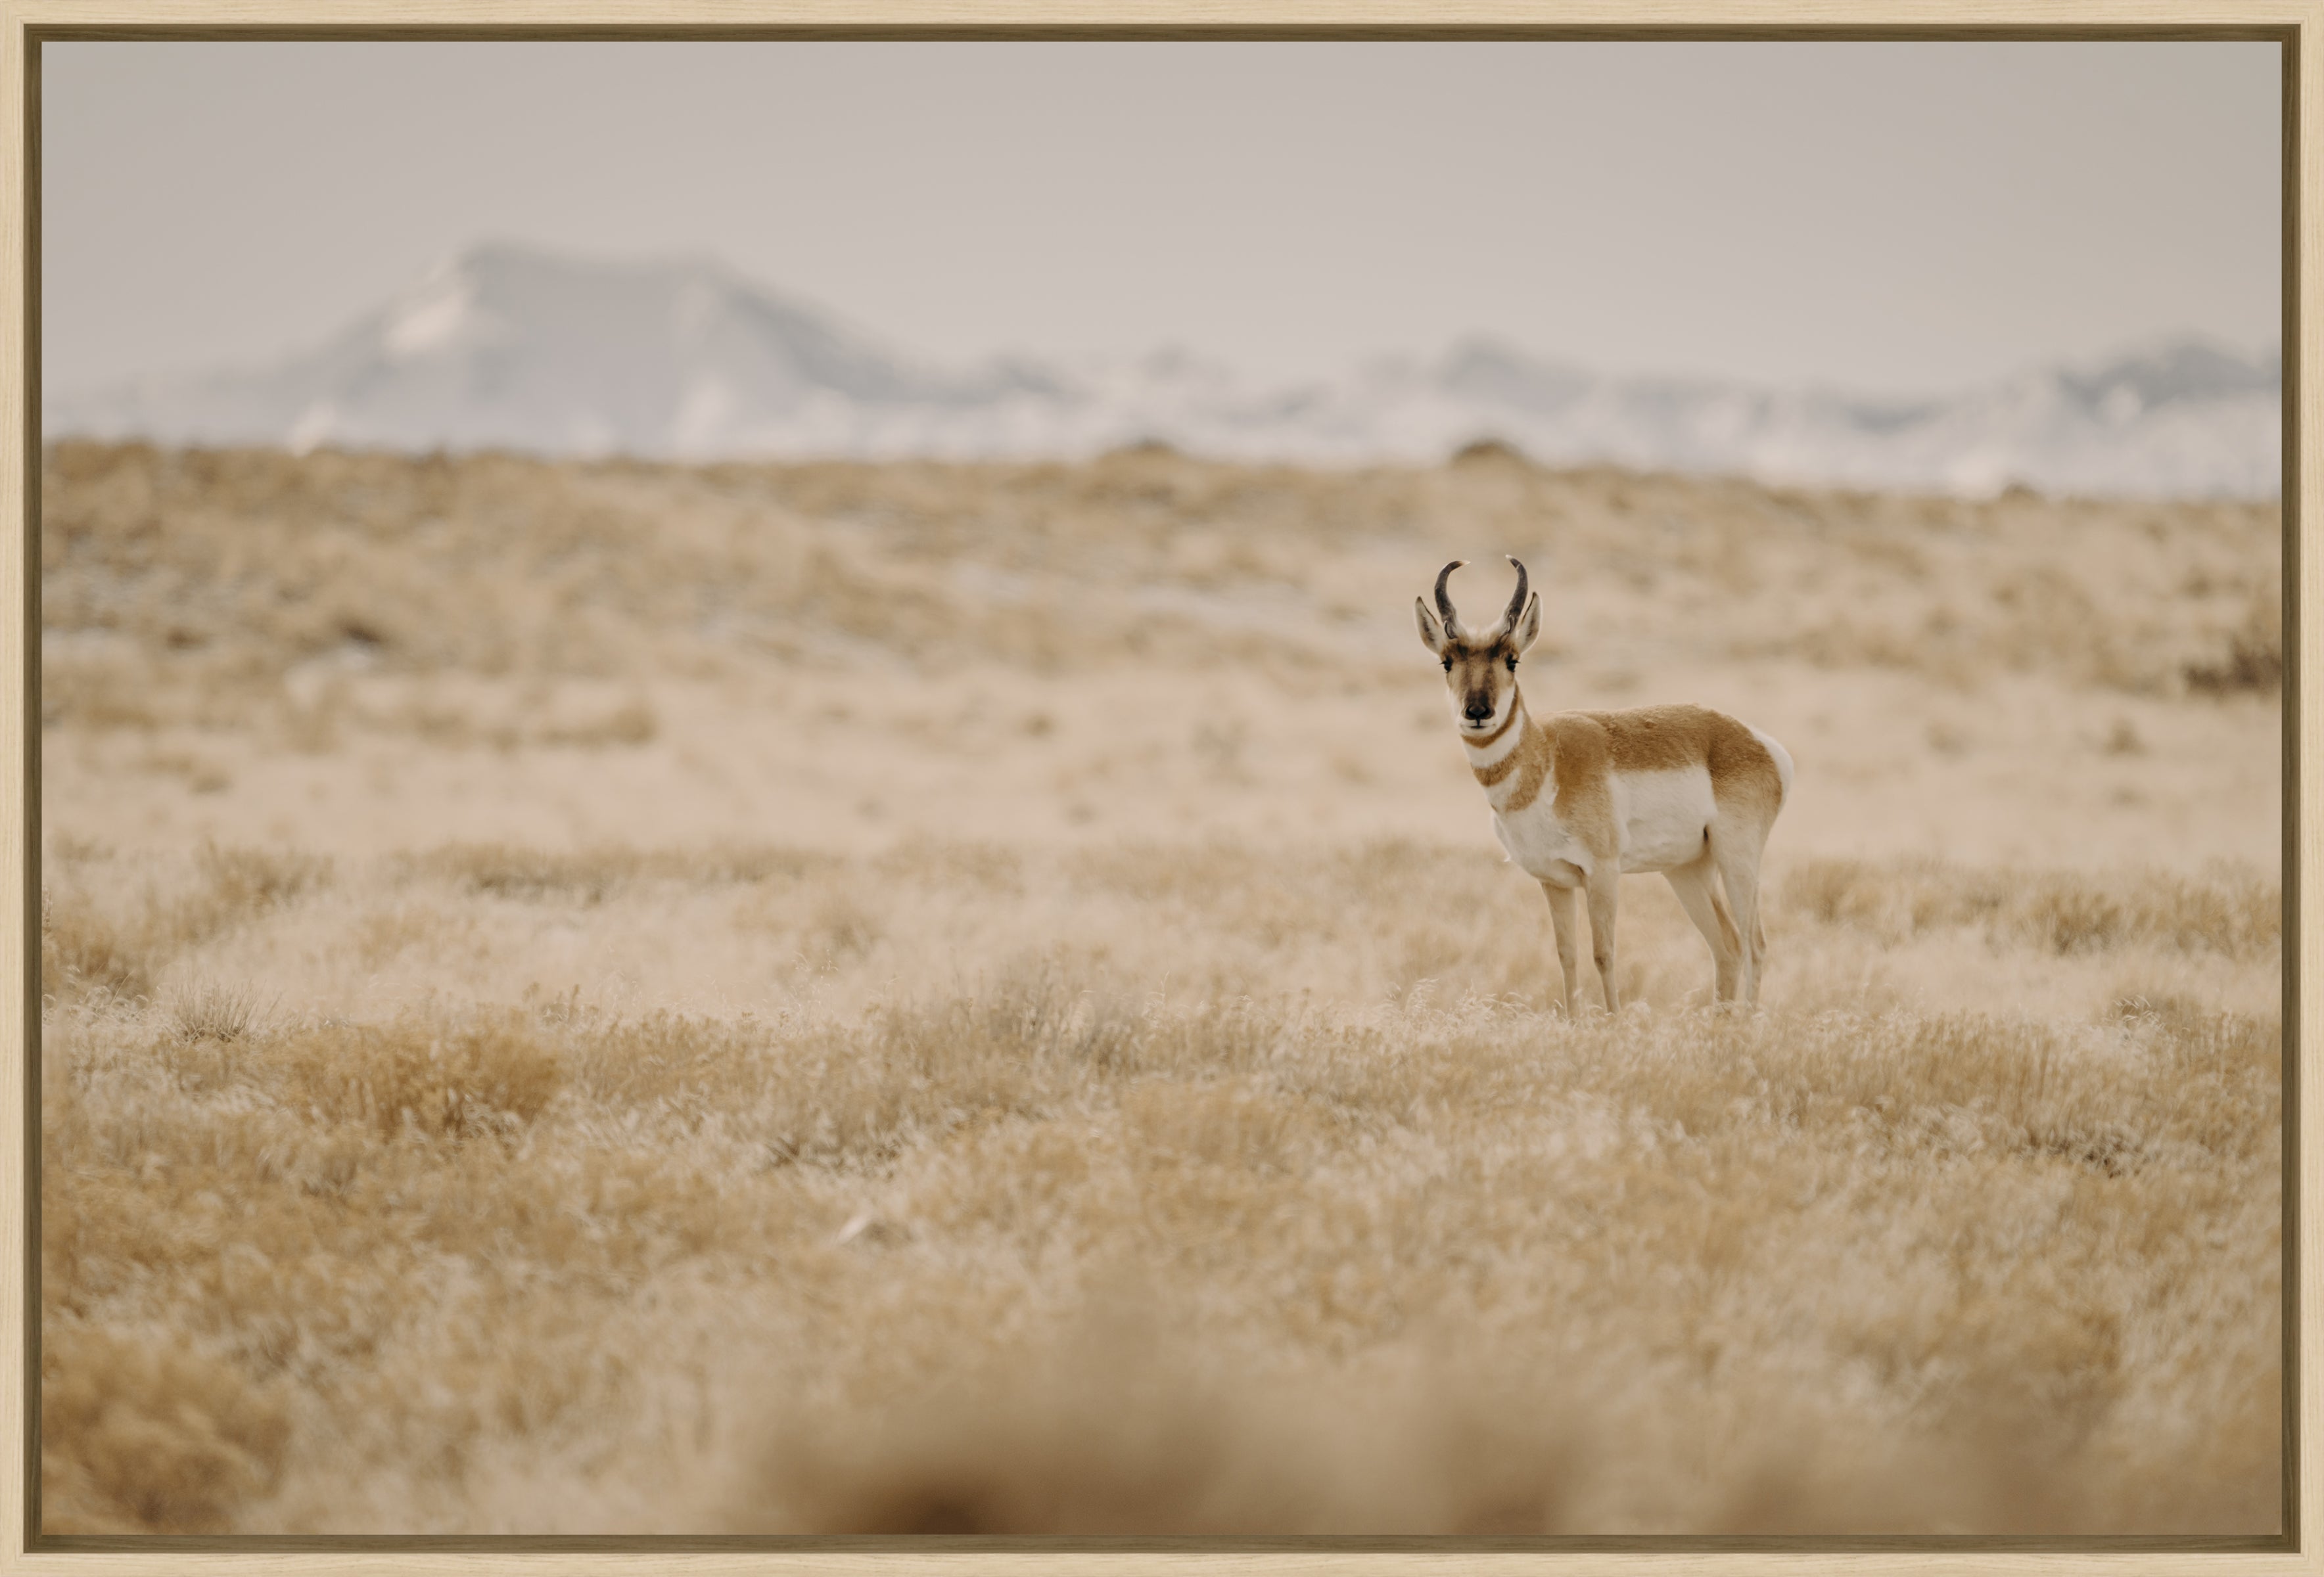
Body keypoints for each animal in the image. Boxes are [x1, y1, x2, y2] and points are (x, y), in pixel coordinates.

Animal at [1416, 558, 1793, 1013]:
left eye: (1512, 660)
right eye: (1447, 662)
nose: (1477, 712)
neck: (1547, 758)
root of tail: (1757, 741)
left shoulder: (1603, 874)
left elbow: (1604, 953)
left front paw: (1613, 1021)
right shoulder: (1555, 882)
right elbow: (1567, 956)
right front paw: (1575, 1022)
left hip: (1737, 859)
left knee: (1755, 944)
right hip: (1686, 871)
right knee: (1728, 946)